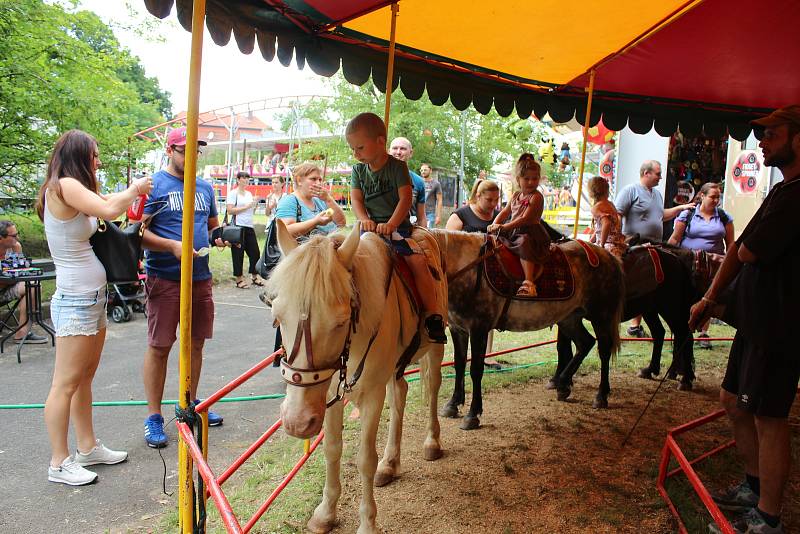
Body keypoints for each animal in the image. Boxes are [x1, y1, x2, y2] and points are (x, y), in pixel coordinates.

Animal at [268, 222, 444, 534]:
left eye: (340, 322)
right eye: (277, 317)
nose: (297, 422)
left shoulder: (372, 394)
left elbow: (364, 459)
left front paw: (367, 523)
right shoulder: (328, 395)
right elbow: (331, 449)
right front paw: (325, 513)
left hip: (435, 347)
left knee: (434, 387)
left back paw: (431, 443)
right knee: (399, 395)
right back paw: (390, 462)